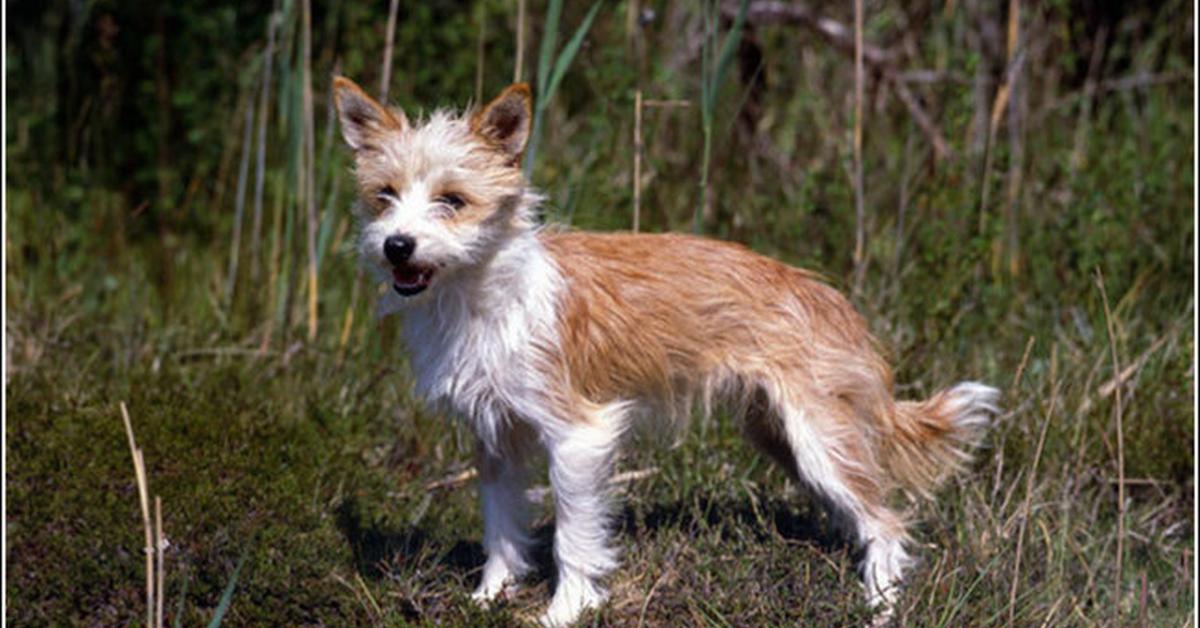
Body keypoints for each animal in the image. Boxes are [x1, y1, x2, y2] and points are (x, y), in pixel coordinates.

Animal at [333, 76, 998, 624]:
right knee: (863, 511)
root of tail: (835, 303)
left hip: (818, 442)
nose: (397, 245)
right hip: (781, 437)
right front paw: (488, 599)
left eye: (452, 201)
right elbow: (501, 530)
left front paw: (565, 611)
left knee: (887, 523)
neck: (479, 294)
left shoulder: (579, 436)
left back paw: (879, 605)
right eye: (384, 196)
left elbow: (574, 537)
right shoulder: (495, 439)